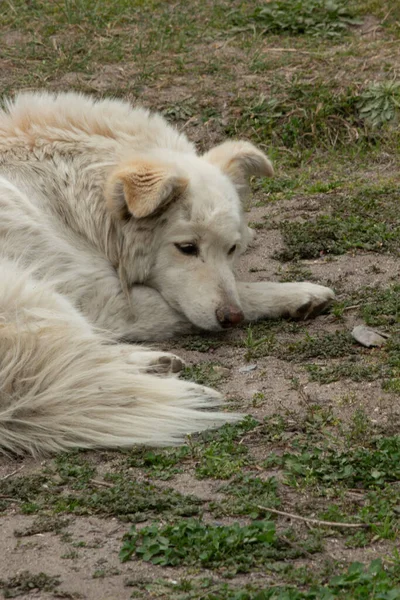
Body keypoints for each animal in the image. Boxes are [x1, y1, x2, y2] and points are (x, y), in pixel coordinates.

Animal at [0, 91, 332, 454]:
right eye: (187, 248)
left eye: (231, 249)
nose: (231, 318)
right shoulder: (104, 300)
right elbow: (244, 290)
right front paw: (300, 292)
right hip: (35, 293)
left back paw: (158, 366)